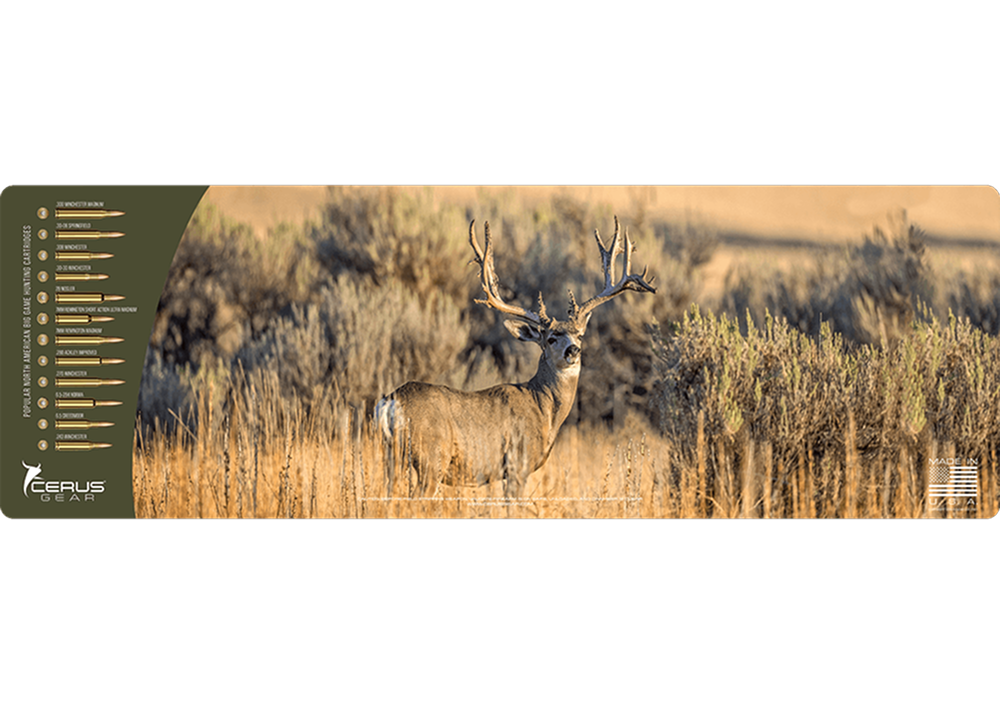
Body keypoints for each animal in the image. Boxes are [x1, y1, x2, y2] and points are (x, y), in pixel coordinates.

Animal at [375, 216, 656, 499]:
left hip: (391, 456)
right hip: (431, 458)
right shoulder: (517, 463)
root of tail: (390, 402)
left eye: (580, 336)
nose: (573, 351)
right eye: (551, 338)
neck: (543, 409)